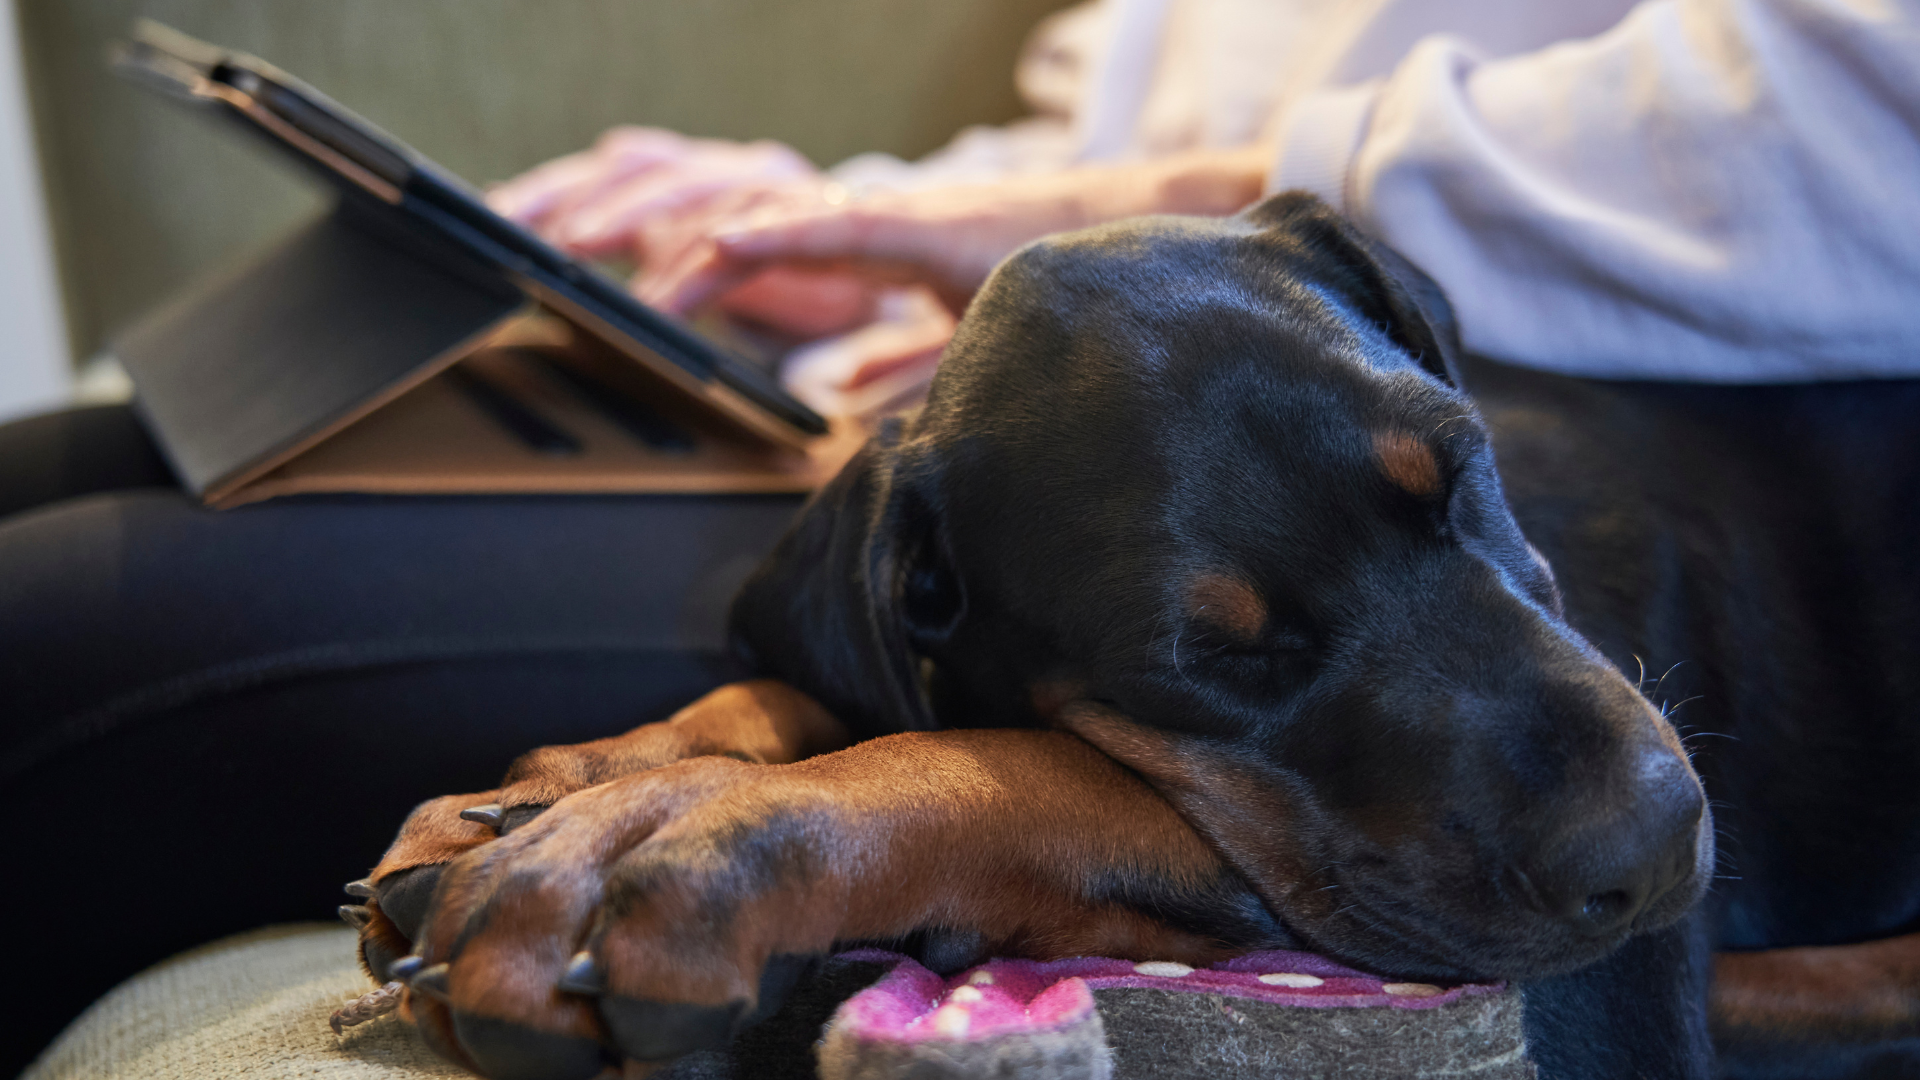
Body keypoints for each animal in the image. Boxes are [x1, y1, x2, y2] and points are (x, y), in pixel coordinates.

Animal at [345, 193, 1920, 1076]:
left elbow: (1018, 762)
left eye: (1462, 469)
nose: (1656, 848)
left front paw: (662, 842)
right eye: (1213, 661)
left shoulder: (1589, 1014)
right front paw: (591, 777)